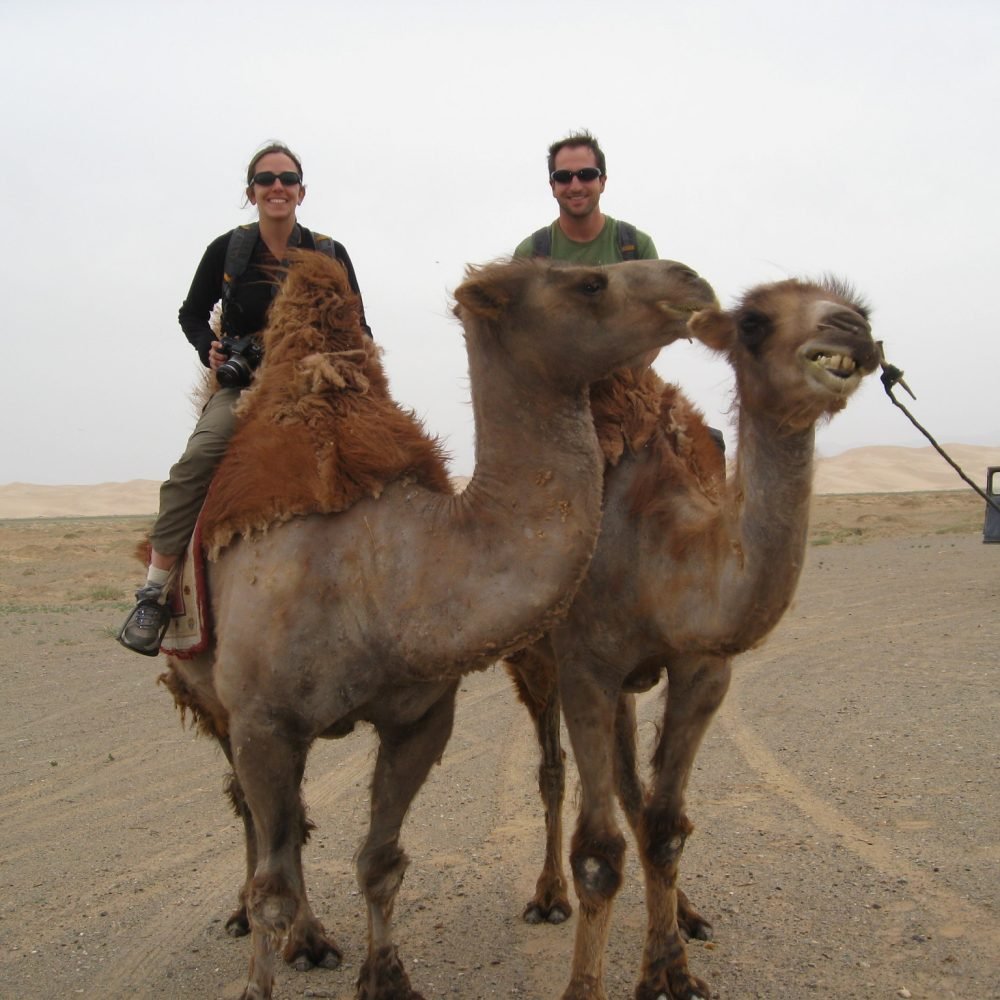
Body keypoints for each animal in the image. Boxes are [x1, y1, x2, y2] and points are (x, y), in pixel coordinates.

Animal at [160, 252, 716, 1000]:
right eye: (590, 283)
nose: (693, 281)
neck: (383, 574)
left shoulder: (421, 718)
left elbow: (381, 861)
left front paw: (387, 980)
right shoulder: (263, 722)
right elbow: (273, 886)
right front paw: (260, 980)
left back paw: (312, 939)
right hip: (213, 700)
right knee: (254, 821)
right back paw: (275, 928)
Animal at [504, 276, 880, 1000]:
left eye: (862, 311)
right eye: (754, 322)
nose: (849, 330)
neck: (658, 546)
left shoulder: (704, 668)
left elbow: (664, 826)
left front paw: (670, 972)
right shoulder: (585, 667)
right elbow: (599, 854)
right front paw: (588, 983)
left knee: (633, 791)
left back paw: (687, 912)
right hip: (532, 664)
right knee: (553, 773)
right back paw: (547, 895)